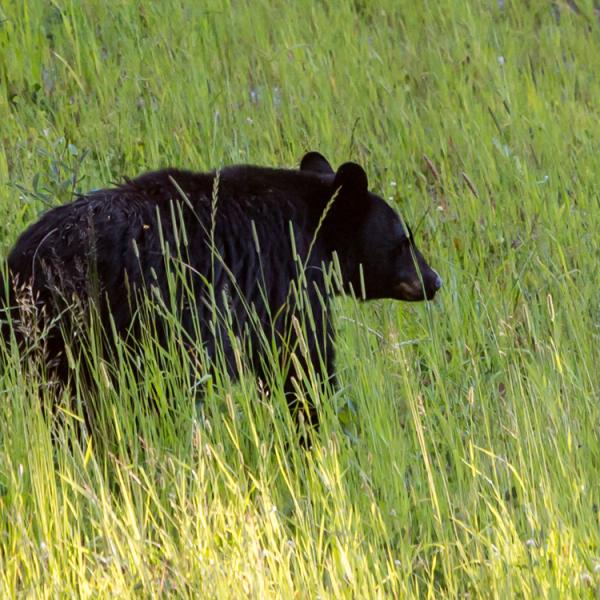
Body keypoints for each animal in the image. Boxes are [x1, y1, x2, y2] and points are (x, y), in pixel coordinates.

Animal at [0, 151, 440, 426]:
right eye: (405, 239)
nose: (434, 280)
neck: (310, 227)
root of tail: (24, 263)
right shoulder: (285, 281)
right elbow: (301, 361)